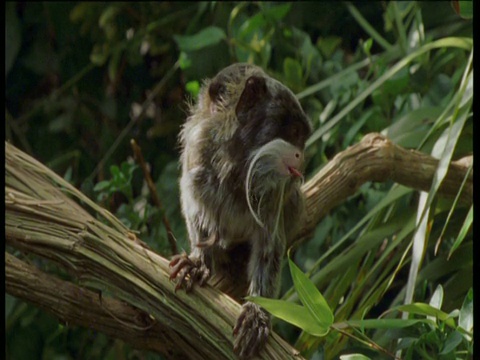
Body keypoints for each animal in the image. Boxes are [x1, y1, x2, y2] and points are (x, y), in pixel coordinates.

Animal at [169, 63, 312, 358]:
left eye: (302, 139)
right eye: (293, 134)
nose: (301, 156)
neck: (236, 163)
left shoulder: (275, 188)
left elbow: (270, 244)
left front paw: (258, 313)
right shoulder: (197, 156)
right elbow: (195, 210)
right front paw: (199, 261)